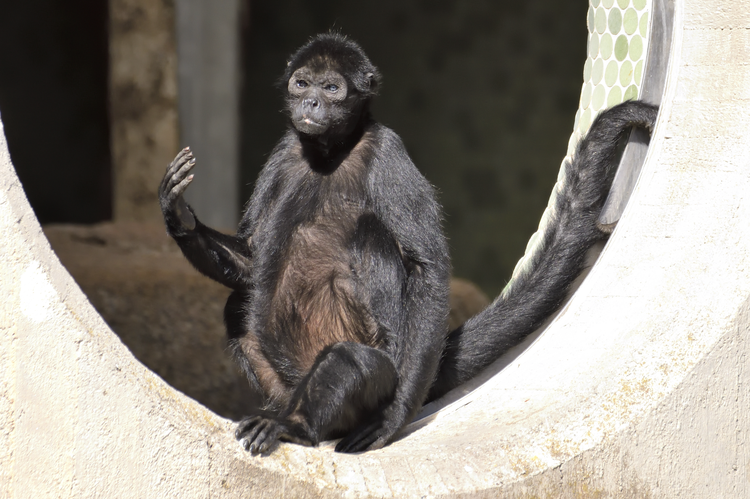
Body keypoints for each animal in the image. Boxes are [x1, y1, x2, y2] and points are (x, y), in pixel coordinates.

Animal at [159, 33, 656, 456]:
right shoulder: (285, 152)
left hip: (375, 375)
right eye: (301, 83)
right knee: (238, 305)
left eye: (332, 87)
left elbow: (427, 266)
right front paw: (178, 214)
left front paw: (395, 419)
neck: (328, 154)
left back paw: (296, 425)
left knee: (354, 340)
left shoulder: (387, 149)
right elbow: (250, 260)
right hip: (284, 380)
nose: (312, 101)